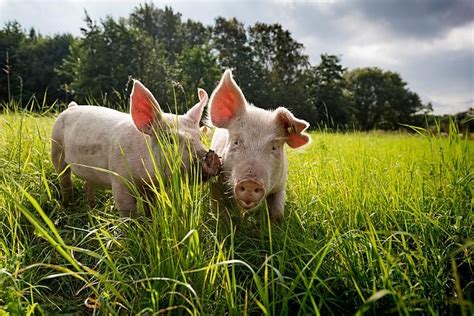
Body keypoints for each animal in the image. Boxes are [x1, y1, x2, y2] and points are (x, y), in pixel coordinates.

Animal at [51, 80, 221, 216]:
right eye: (170, 140)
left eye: (200, 138)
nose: (210, 156)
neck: (146, 178)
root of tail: (71, 106)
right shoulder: (119, 179)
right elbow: (127, 209)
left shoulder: (152, 187)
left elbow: (151, 206)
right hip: (56, 148)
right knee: (64, 179)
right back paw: (67, 206)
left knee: (88, 184)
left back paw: (91, 209)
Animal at [207, 69, 312, 222]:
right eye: (236, 142)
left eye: (274, 147)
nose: (250, 182)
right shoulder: (215, 182)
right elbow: (220, 210)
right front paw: (226, 223)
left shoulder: (281, 184)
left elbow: (277, 211)